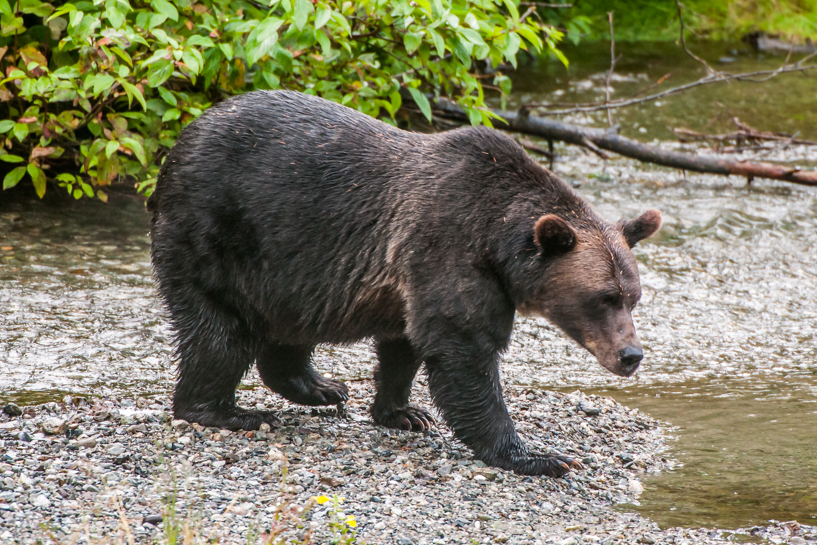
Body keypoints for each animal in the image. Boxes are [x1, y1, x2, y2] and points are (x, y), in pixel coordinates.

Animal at [148, 90, 661, 477]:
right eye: (603, 298)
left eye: (633, 298)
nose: (631, 355)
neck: (497, 238)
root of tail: (181, 144)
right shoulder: (448, 247)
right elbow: (464, 352)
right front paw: (537, 455)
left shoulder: (411, 278)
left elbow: (405, 345)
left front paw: (403, 411)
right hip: (216, 235)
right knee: (219, 329)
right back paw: (225, 410)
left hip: (289, 269)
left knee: (289, 325)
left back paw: (320, 386)